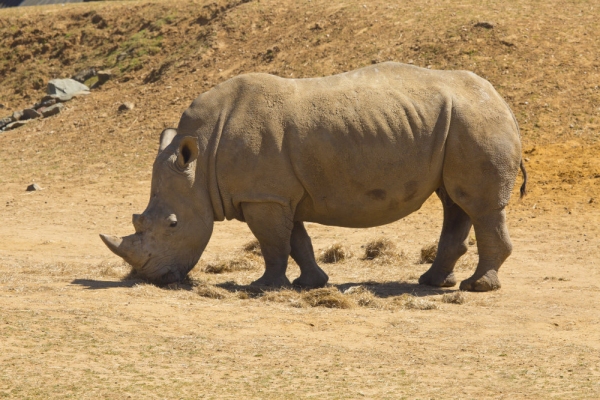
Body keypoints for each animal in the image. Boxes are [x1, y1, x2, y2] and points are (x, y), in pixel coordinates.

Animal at [101, 63, 528, 294]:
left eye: (173, 224)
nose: (153, 278)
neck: (201, 159)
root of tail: (503, 101)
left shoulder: (263, 196)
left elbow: (272, 243)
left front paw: (263, 287)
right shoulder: (277, 193)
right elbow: (296, 240)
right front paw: (311, 284)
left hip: (476, 122)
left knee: (479, 206)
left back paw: (476, 287)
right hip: (461, 124)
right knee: (454, 201)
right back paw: (433, 282)